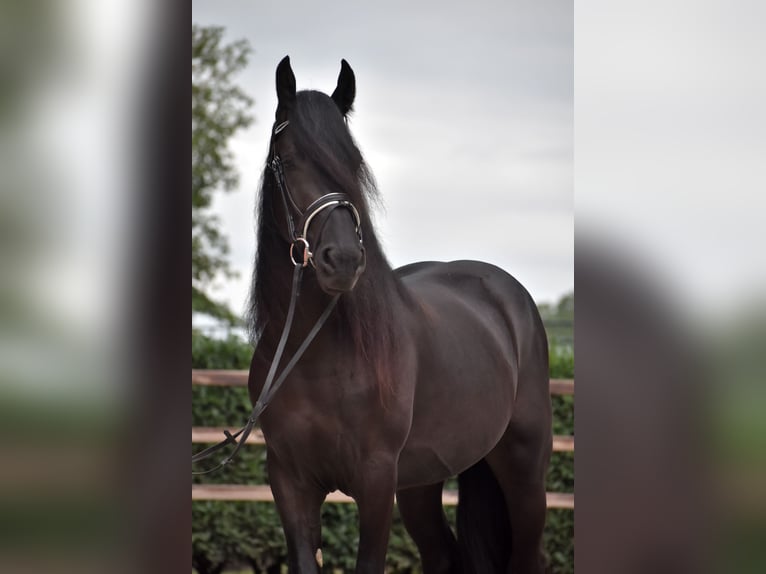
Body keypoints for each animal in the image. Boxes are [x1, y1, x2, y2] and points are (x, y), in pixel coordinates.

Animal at [248, 57, 552, 574]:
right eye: (288, 161)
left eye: (353, 163)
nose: (343, 260)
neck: (316, 355)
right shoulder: (289, 481)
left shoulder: (376, 480)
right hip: (423, 481)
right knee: (443, 556)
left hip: (525, 471)